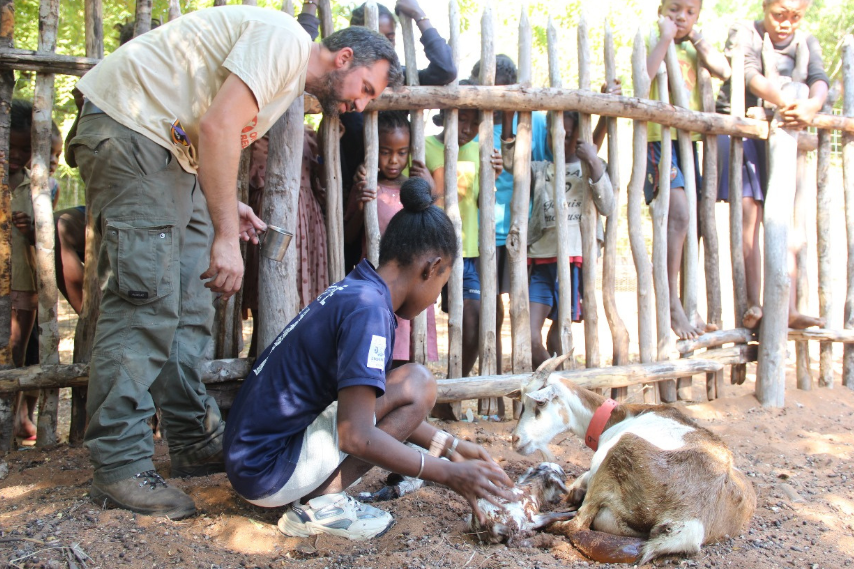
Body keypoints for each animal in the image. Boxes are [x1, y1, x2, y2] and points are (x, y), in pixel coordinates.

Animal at [508, 356, 756, 564]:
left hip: (619, 452)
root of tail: (691, 520)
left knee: (576, 525)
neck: (618, 418)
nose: (515, 439)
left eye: (539, 404)